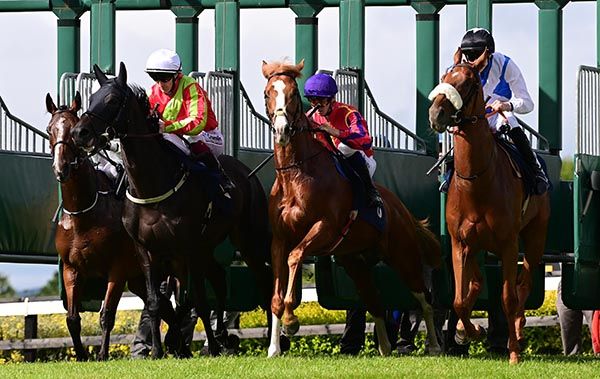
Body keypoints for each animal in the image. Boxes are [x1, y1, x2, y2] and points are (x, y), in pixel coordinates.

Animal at [46, 93, 180, 360]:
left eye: (72, 129)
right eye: (49, 130)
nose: (61, 168)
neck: (84, 212)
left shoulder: (117, 270)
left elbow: (107, 315)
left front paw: (102, 354)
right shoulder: (71, 268)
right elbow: (72, 318)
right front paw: (82, 356)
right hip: (139, 279)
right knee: (165, 307)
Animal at [71, 63, 274, 360]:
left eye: (111, 100)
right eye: (91, 98)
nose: (79, 133)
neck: (153, 185)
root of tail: (247, 173)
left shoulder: (185, 248)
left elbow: (195, 300)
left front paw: (198, 345)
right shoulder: (147, 250)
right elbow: (157, 302)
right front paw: (160, 349)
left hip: (247, 239)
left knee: (264, 281)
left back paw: (273, 340)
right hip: (207, 245)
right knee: (219, 278)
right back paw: (222, 336)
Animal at [428, 49, 552, 364]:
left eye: (468, 83)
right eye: (445, 76)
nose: (436, 114)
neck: (477, 180)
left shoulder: (508, 243)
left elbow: (507, 296)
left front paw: (514, 352)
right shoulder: (459, 242)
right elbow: (459, 300)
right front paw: (468, 332)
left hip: (535, 236)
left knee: (524, 283)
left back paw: (518, 330)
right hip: (478, 246)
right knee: (477, 283)